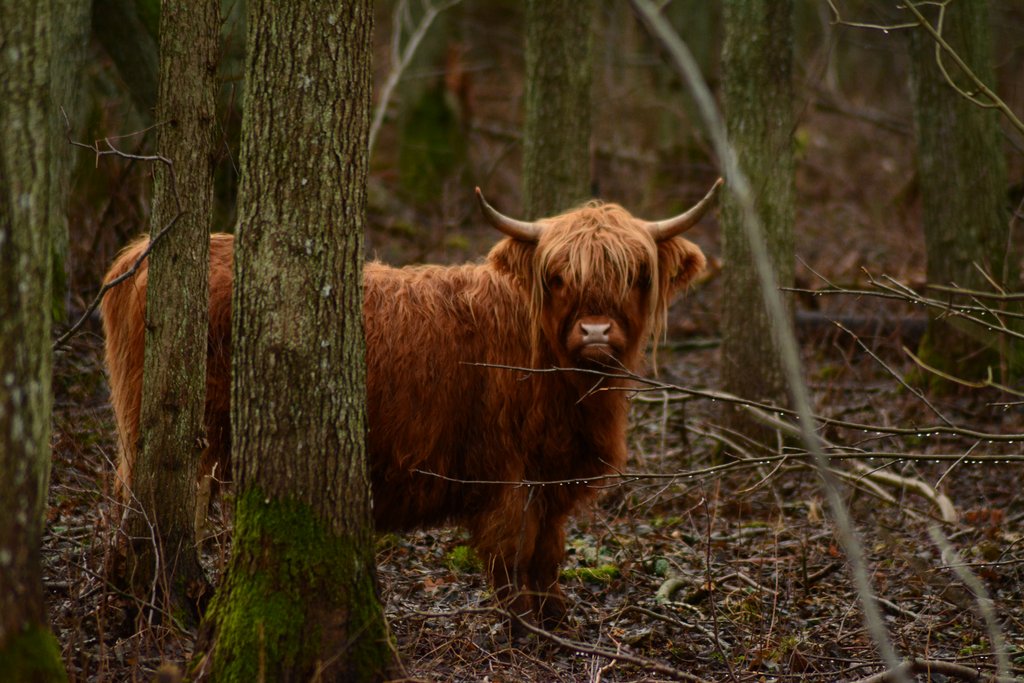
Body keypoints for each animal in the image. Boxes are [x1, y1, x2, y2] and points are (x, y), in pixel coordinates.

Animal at [99, 180, 716, 626]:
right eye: (558, 276)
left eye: (636, 276)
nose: (595, 332)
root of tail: (139, 254)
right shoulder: (510, 473)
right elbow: (514, 555)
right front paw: (523, 632)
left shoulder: (552, 475)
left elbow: (547, 554)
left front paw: (554, 621)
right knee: (146, 504)